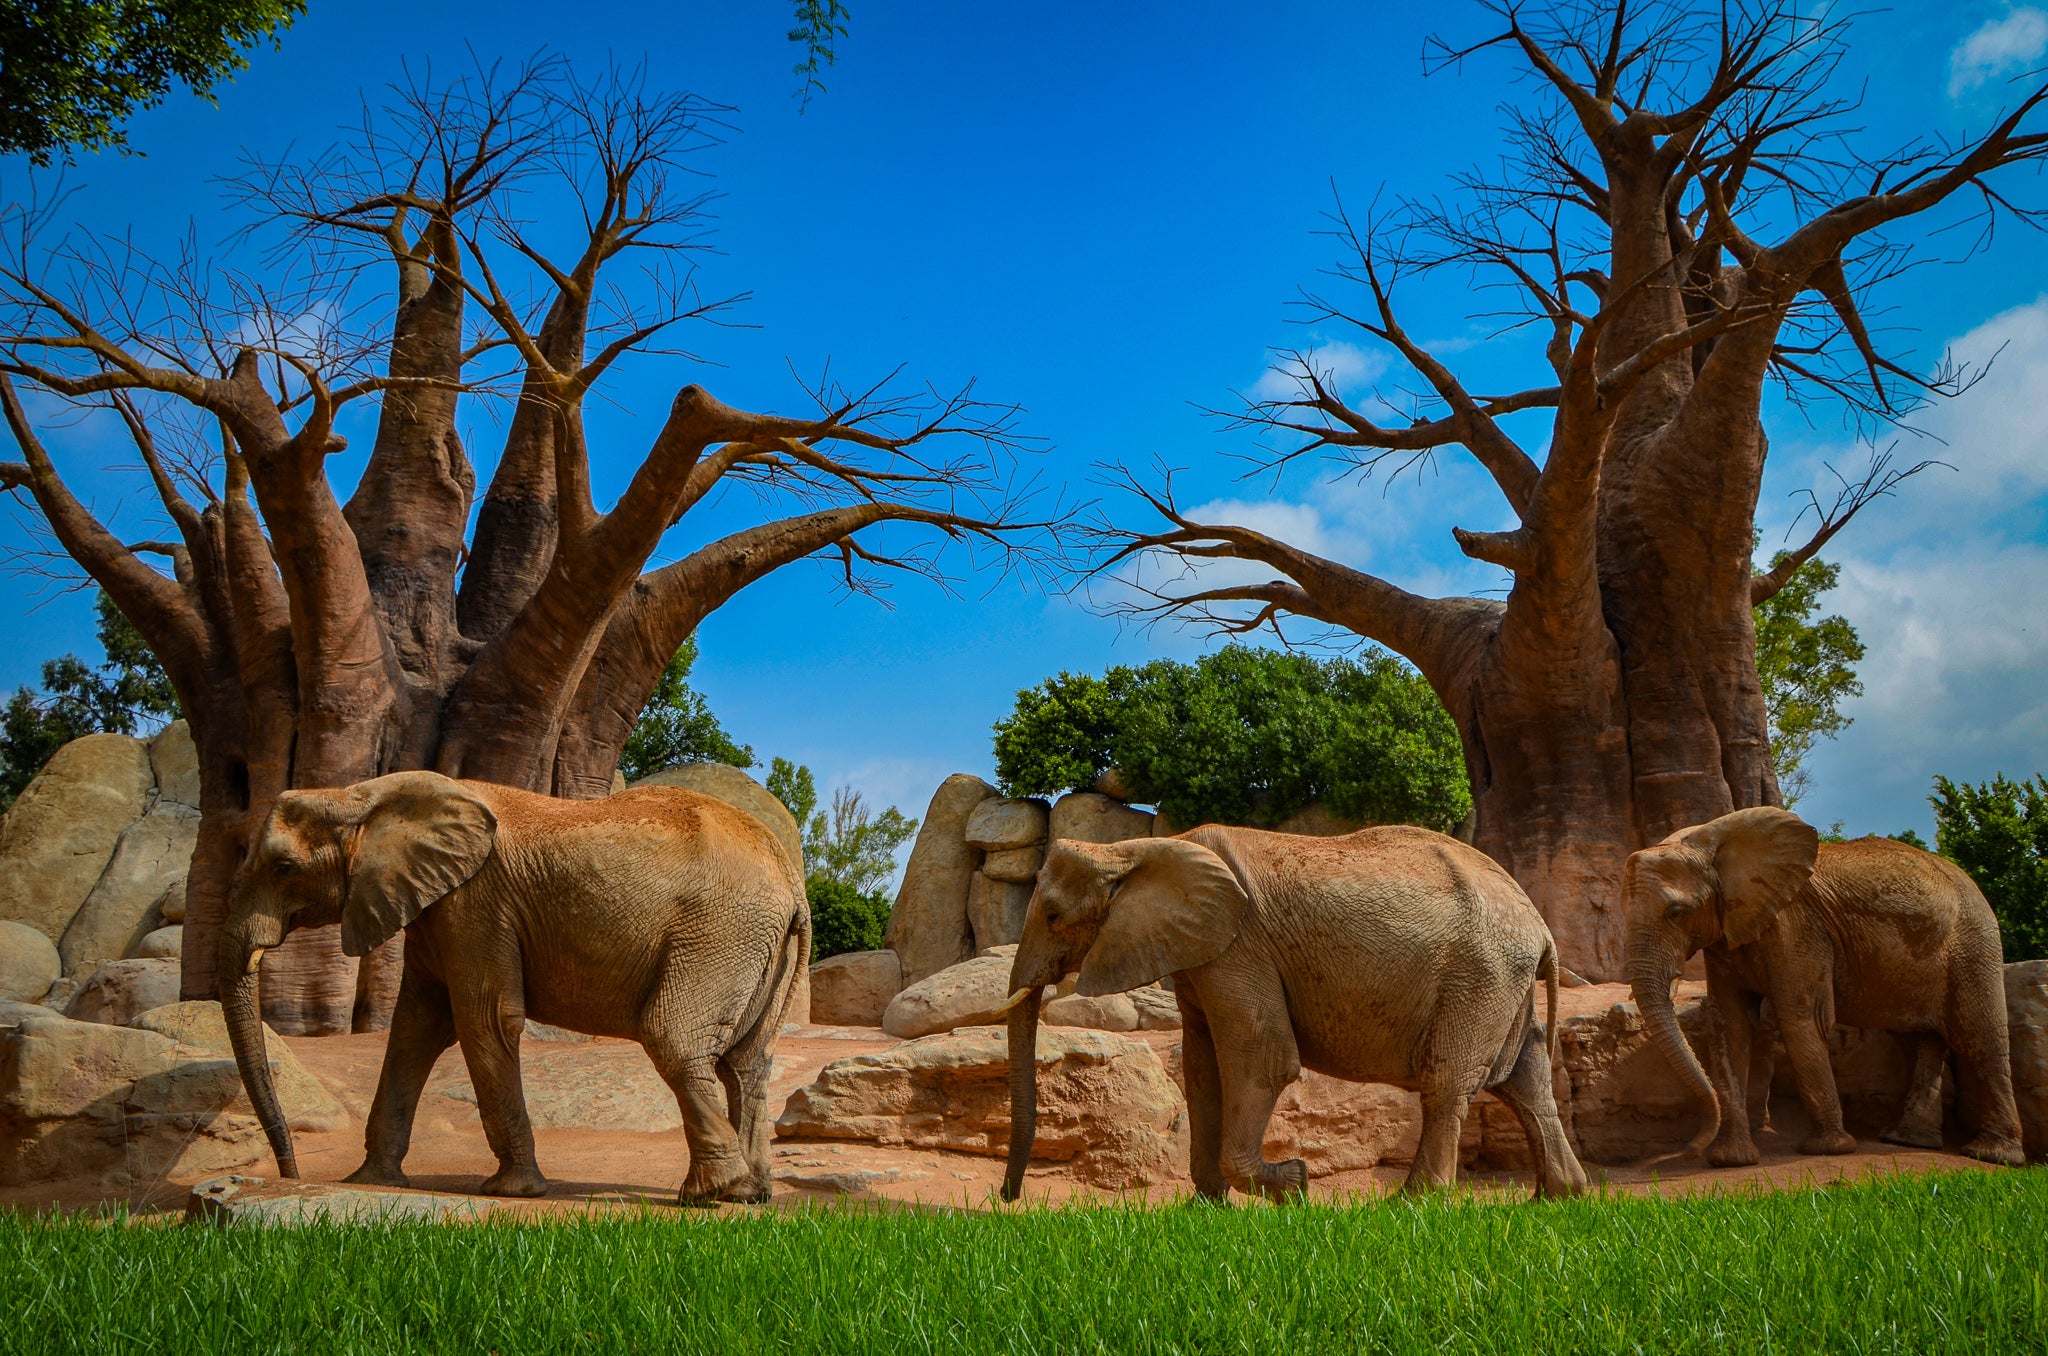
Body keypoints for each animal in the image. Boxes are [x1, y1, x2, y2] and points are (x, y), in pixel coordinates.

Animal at [221, 771, 810, 1204]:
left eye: (283, 867)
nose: (291, 1174)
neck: (363, 794)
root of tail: (792, 882)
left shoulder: (475, 902)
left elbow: (483, 1019)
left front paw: (510, 1191)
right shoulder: (437, 909)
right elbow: (416, 1029)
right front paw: (369, 1182)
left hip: (720, 934)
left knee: (675, 1041)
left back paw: (711, 1195)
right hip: (758, 948)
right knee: (747, 1062)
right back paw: (752, 1194)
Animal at [1000, 825, 1590, 1202]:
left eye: (1053, 915)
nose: (1008, 1200)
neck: (1134, 848)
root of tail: (1541, 926)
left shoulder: (1239, 947)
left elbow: (1262, 1061)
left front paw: (1295, 1186)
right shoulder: (1202, 954)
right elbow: (1202, 1069)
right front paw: (1202, 1213)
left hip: (1480, 979)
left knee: (1447, 1084)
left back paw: (1410, 1207)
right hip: (1502, 983)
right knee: (1524, 1077)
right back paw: (1556, 1198)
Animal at [1623, 806, 2024, 1168]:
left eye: (1676, 913)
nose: (1687, 1151)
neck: (1712, 843)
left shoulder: (1797, 926)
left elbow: (1799, 1018)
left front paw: (1829, 1149)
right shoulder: (1729, 932)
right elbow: (1731, 1026)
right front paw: (1730, 1160)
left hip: (1973, 940)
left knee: (1978, 1036)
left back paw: (1993, 1155)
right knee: (1921, 1040)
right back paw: (1908, 1140)